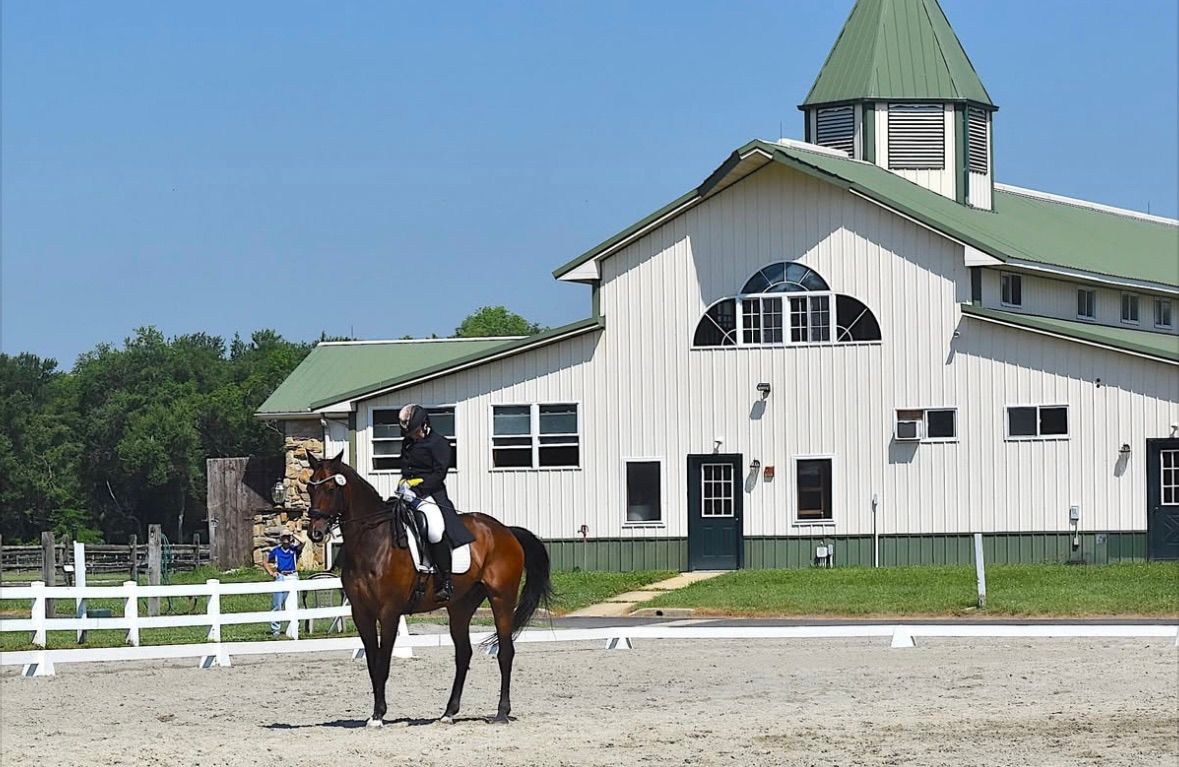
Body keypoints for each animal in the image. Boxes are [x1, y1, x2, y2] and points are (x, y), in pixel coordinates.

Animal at [299, 450, 547, 725]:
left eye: (331, 488)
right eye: (310, 487)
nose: (316, 533)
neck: (372, 541)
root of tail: (506, 531)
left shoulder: (389, 612)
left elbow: (383, 661)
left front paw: (379, 714)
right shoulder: (361, 612)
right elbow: (372, 663)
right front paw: (375, 713)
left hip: (501, 598)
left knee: (505, 651)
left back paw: (501, 712)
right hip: (461, 606)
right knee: (464, 653)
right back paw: (448, 713)